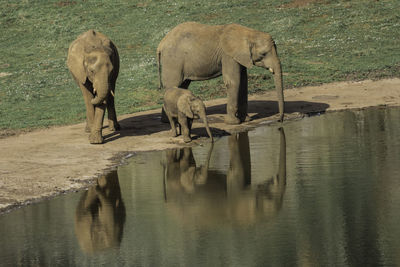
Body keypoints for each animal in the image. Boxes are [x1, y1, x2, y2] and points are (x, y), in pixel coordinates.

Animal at [156, 21, 284, 124]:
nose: (279, 120)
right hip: (172, 62)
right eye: (263, 54)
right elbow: (233, 82)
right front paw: (233, 123)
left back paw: (168, 120)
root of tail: (160, 44)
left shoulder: (239, 57)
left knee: (182, 86)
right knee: (173, 86)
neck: (247, 33)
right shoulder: (227, 55)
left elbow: (243, 82)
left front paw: (246, 120)